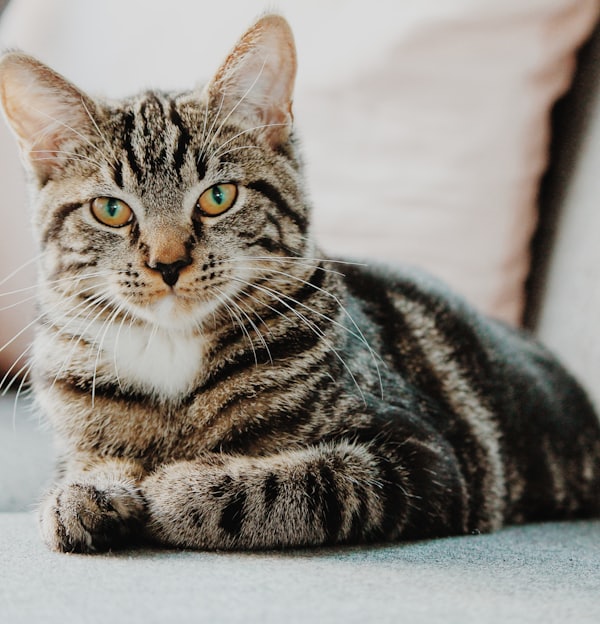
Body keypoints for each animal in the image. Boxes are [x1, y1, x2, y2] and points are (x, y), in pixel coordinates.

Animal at [1, 13, 600, 552]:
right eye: (111, 210)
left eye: (218, 197)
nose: (167, 264)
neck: (172, 351)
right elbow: (83, 465)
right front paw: (84, 492)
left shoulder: (420, 457)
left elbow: (294, 483)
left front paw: (178, 486)